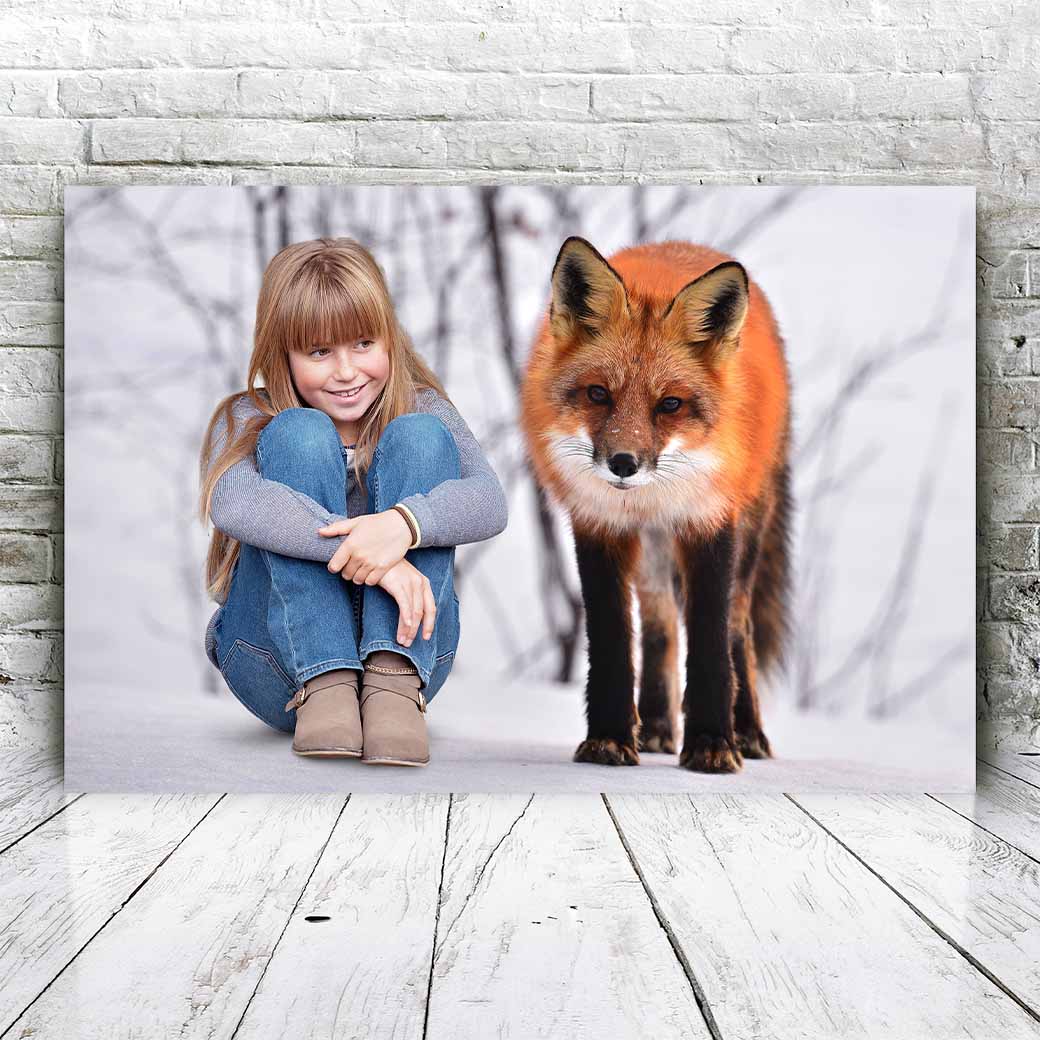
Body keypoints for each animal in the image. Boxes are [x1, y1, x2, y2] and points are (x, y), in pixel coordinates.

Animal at [519, 237, 792, 773]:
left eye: (669, 405)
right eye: (598, 394)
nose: (623, 464)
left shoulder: (709, 522)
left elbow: (710, 642)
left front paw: (712, 743)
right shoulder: (599, 525)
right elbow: (612, 640)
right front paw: (608, 738)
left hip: (748, 530)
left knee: (738, 627)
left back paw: (748, 731)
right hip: (651, 554)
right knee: (659, 626)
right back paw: (657, 727)